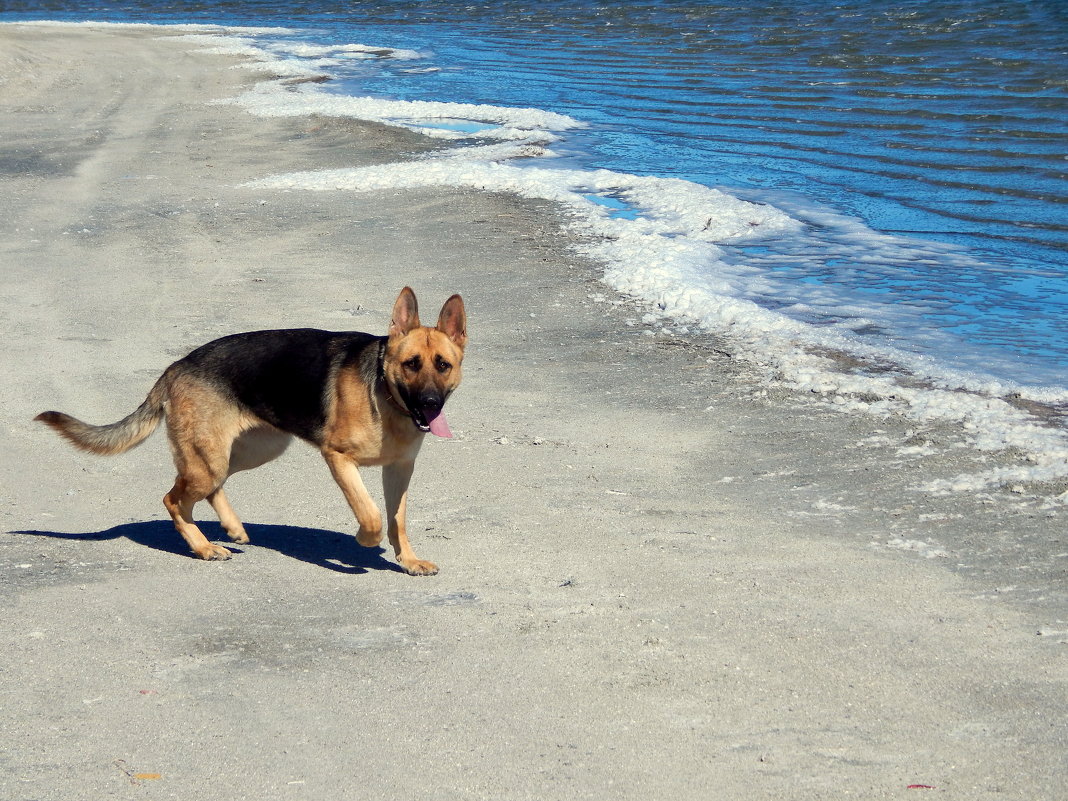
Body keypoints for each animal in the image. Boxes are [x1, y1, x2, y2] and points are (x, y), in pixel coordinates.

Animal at [33, 288, 465, 576]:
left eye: (443, 365)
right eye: (411, 364)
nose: (431, 403)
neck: (386, 394)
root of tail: (175, 367)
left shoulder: (400, 470)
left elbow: (398, 519)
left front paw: (408, 560)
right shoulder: (338, 458)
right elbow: (372, 513)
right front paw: (364, 541)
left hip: (250, 451)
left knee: (209, 489)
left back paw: (232, 529)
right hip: (210, 460)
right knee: (173, 499)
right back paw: (204, 547)